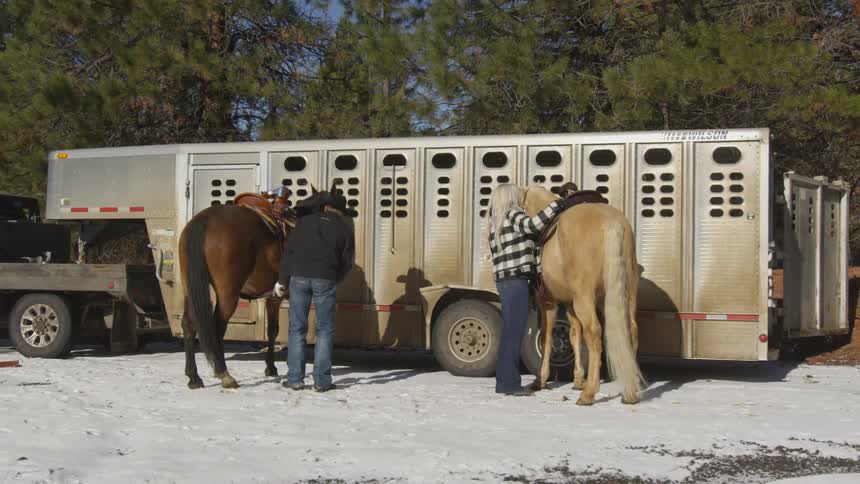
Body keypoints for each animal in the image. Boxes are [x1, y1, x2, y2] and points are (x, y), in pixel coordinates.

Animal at [178, 183, 332, 389]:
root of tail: (205, 220)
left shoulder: (273, 297)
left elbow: (273, 330)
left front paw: (271, 367)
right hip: (228, 293)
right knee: (217, 326)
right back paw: (224, 374)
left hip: (189, 288)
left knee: (189, 323)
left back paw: (193, 377)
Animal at [522, 185, 644, 405]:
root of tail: (612, 224)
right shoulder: (571, 304)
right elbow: (574, 335)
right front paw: (578, 379)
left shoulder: (548, 302)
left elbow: (546, 338)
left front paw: (540, 380)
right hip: (627, 294)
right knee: (631, 330)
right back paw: (630, 392)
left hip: (584, 299)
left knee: (594, 333)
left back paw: (588, 394)